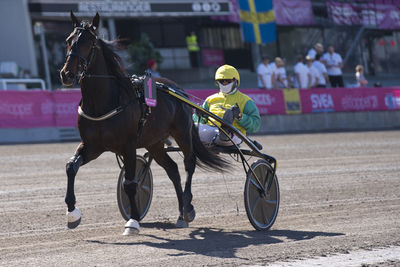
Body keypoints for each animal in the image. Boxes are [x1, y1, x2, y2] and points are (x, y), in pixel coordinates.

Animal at [59, 11, 228, 236]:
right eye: (69, 40)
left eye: (89, 42)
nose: (67, 74)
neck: (103, 102)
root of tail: (178, 90)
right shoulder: (92, 146)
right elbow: (71, 167)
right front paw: (72, 213)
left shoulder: (128, 145)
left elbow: (130, 184)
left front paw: (133, 220)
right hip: (154, 143)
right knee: (173, 169)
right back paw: (180, 214)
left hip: (182, 133)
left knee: (188, 163)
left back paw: (188, 207)